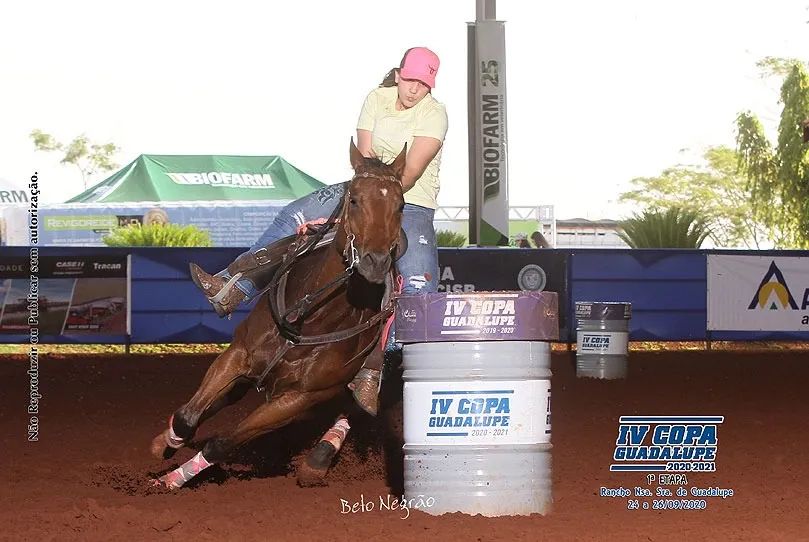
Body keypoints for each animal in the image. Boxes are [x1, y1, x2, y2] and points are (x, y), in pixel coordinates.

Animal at [150, 140, 406, 489]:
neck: (311, 317)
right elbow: (188, 417)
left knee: (350, 408)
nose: (375, 263)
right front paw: (168, 445)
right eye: (354, 200)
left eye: (401, 206)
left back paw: (317, 462)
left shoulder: (298, 398)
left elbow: (222, 444)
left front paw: (171, 481)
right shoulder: (238, 355)